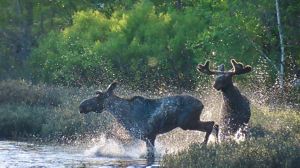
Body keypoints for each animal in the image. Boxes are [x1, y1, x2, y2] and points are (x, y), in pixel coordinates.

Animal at [79, 82, 218, 165]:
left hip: (187, 123)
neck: (123, 114)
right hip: (191, 122)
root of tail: (202, 104)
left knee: (210, 125)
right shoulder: (144, 136)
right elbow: (111, 136)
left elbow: (150, 155)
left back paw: (204, 146)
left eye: (98, 97)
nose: (81, 106)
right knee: (214, 125)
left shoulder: (149, 135)